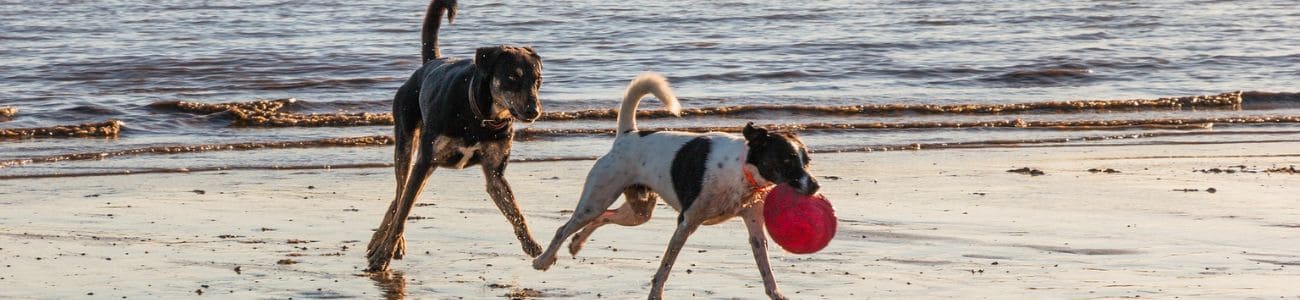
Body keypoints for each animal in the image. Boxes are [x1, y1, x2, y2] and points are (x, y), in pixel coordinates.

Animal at [366, 0, 548, 271]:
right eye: (512, 77)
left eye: (538, 80)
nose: (533, 111)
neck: (481, 117)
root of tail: (429, 64)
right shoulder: (424, 161)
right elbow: (403, 212)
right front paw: (383, 255)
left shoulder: (495, 173)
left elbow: (515, 210)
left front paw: (531, 243)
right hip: (408, 144)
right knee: (401, 191)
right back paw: (386, 243)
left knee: (401, 195)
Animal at [530, 72, 816, 297]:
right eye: (787, 160)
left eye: (807, 161)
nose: (815, 186)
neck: (742, 168)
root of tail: (628, 136)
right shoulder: (686, 223)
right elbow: (665, 267)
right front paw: (655, 294)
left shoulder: (755, 226)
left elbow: (765, 268)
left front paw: (776, 293)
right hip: (597, 199)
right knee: (565, 228)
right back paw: (543, 260)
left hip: (638, 211)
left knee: (604, 217)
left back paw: (577, 243)